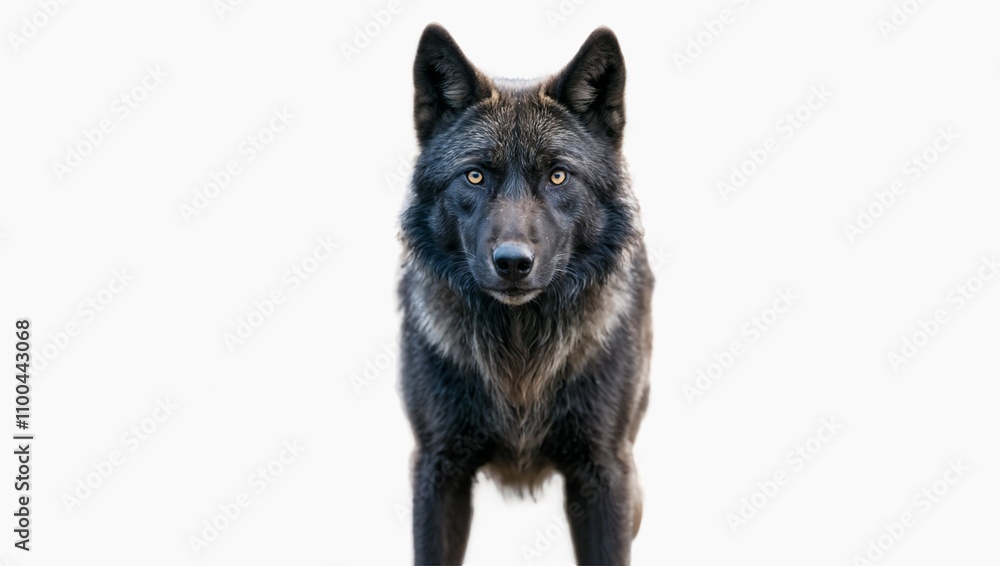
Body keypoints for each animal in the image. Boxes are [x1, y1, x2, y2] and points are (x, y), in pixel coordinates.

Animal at [398, 23, 653, 565]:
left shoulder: (605, 470)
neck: (520, 353)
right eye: (475, 175)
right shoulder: (437, 467)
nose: (513, 262)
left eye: (557, 175)